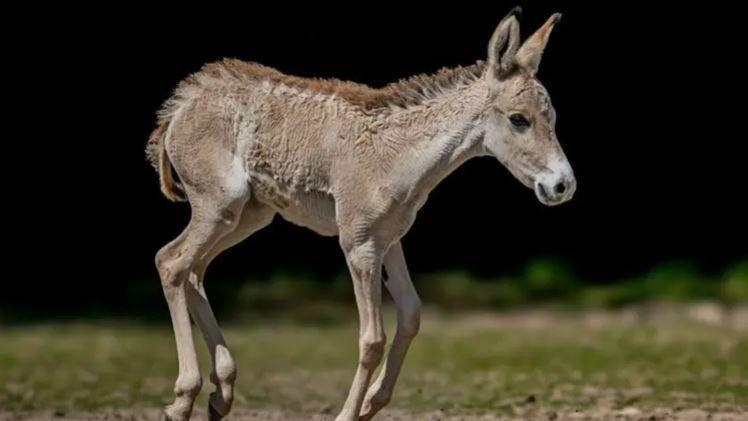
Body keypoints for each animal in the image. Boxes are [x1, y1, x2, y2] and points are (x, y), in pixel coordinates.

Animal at [149, 7, 576, 420]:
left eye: (552, 117)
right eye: (518, 119)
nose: (563, 186)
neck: (399, 155)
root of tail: (180, 105)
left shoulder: (390, 239)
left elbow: (412, 315)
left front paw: (372, 402)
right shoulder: (359, 244)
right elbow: (372, 339)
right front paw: (348, 413)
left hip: (248, 215)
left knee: (194, 270)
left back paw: (220, 394)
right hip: (220, 206)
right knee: (171, 262)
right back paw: (184, 398)